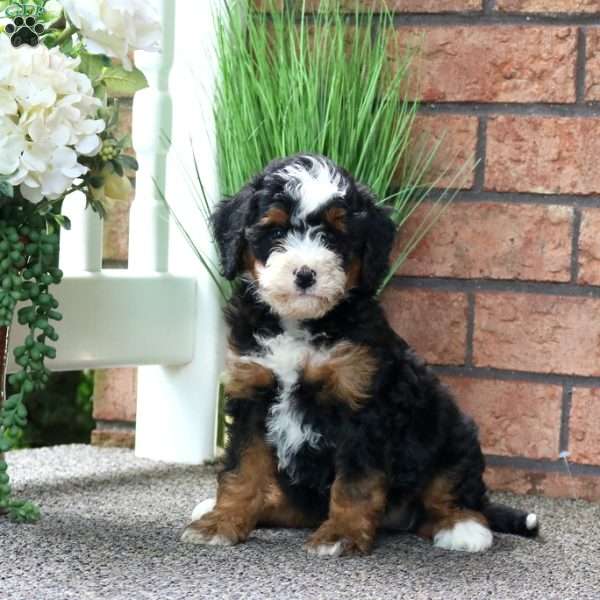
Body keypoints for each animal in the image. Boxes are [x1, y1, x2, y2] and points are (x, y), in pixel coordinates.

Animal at [179, 152, 540, 556]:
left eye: (334, 237)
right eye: (276, 232)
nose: (305, 274)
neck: (301, 325)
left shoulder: (359, 403)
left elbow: (355, 482)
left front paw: (341, 534)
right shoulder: (252, 394)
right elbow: (242, 468)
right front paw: (221, 522)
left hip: (448, 428)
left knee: (448, 491)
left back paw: (462, 526)